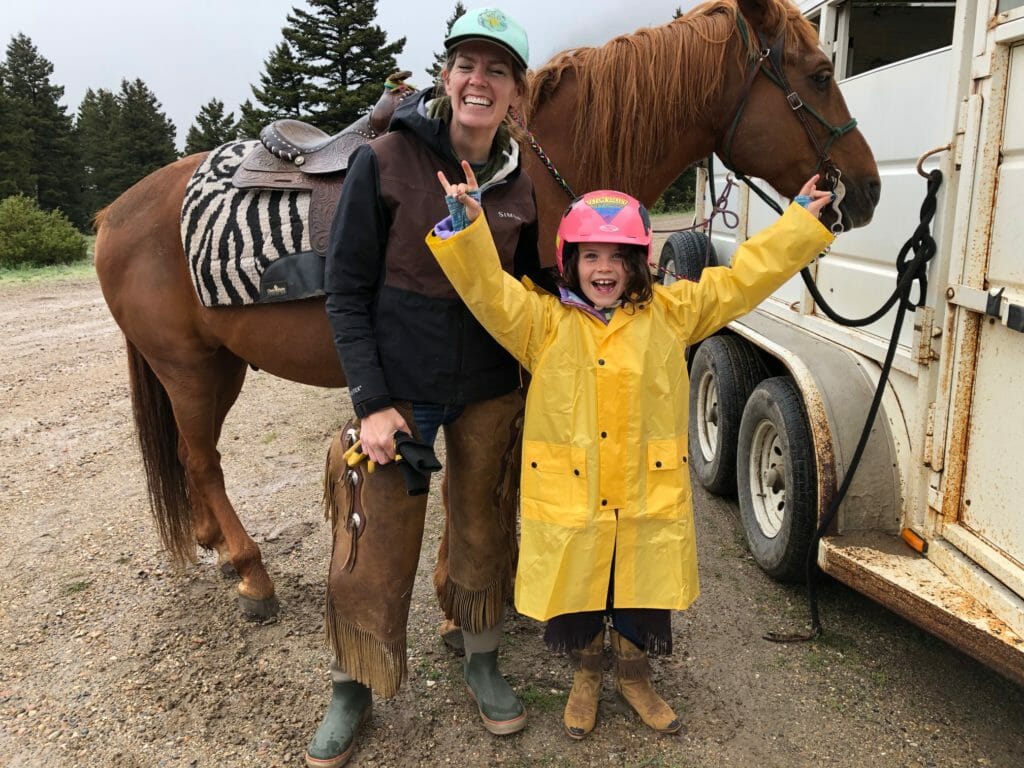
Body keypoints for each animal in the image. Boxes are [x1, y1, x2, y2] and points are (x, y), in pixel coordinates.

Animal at [96, 0, 880, 618]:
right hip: (188, 369)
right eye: (819, 72)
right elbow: (489, 485)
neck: (536, 166)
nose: (866, 189)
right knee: (203, 462)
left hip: (219, 367)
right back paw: (251, 573)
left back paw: (216, 545)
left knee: (194, 459)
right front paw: (471, 593)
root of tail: (115, 213)